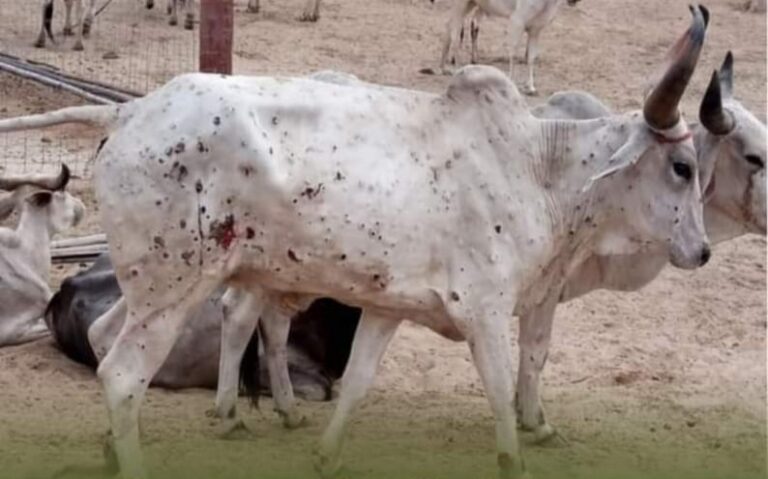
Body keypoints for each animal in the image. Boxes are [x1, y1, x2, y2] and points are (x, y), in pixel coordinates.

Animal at [424, 0, 580, 94]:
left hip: (470, 4)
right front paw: (512, 83)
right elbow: (513, 53)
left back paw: (443, 67)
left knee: (449, 27)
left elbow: (531, 58)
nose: (574, 1)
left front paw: (531, 87)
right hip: (461, 4)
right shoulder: (517, 22)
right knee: (455, 33)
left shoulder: (535, 30)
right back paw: (457, 70)